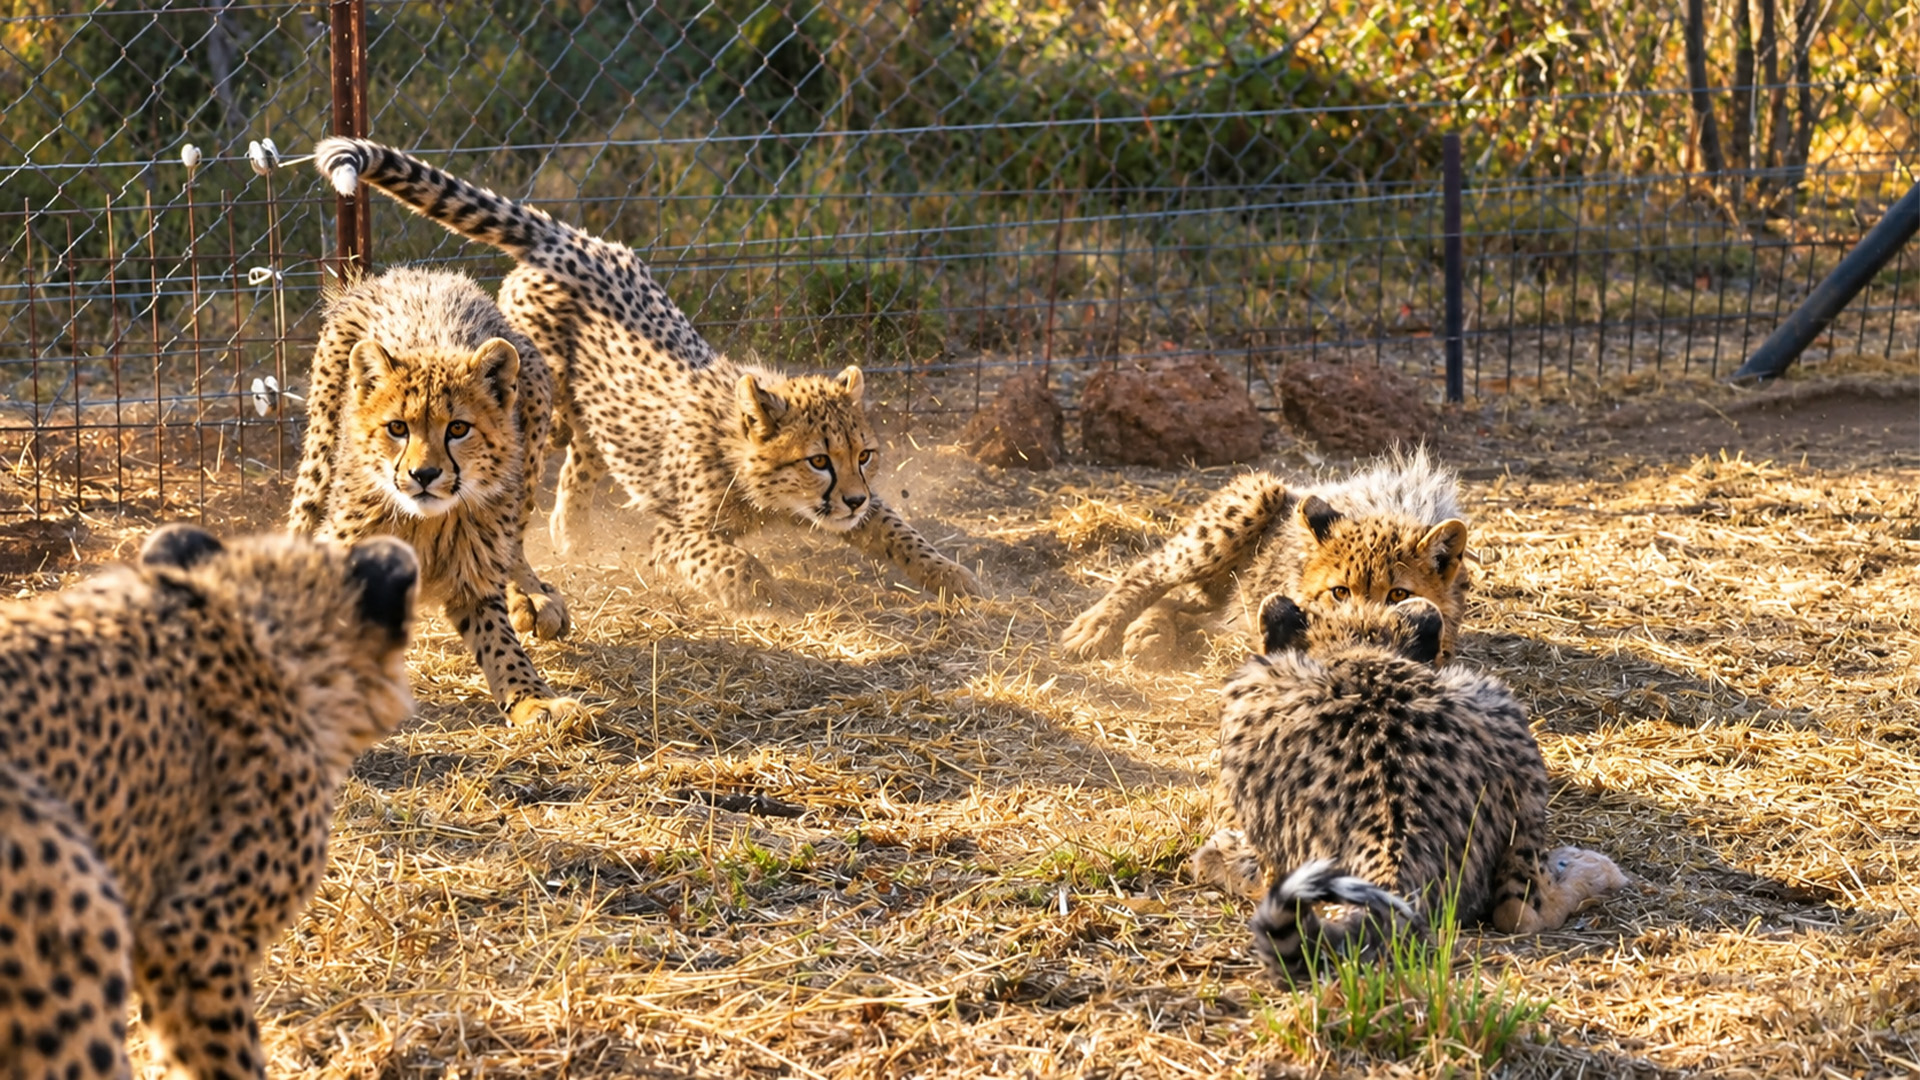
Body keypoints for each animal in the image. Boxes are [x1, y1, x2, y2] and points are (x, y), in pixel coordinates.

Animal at [288, 266, 580, 726]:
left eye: (457, 428)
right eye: (397, 428)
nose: (423, 474)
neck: (424, 521)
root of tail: (414, 273)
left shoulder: (474, 579)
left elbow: (501, 643)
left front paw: (533, 698)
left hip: (532, 414)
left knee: (514, 541)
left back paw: (534, 597)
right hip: (319, 457)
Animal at [311, 138, 980, 609]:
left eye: (863, 455)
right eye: (818, 459)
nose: (852, 496)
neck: (747, 463)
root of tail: (572, 239)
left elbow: (900, 531)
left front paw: (954, 575)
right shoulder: (675, 532)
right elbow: (724, 558)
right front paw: (761, 593)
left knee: (584, 455)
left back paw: (573, 533)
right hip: (537, 391)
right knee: (563, 446)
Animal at [1061, 447, 1472, 667]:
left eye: (1398, 594)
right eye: (1340, 591)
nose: (1366, 624)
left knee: (1192, 608)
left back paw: (1152, 632)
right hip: (1256, 496)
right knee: (1152, 572)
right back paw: (1098, 627)